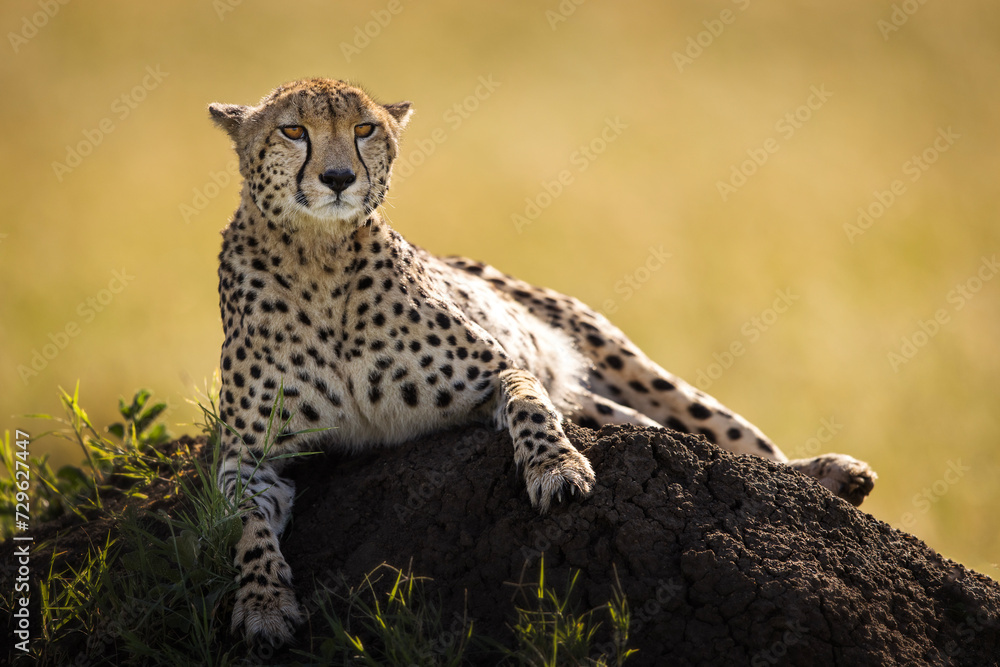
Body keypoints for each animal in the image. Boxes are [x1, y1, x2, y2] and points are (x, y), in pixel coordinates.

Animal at [208, 78, 877, 647]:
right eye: (294, 130)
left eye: (365, 128)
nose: (340, 176)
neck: (315, 256)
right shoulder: (250, 458)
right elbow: (245, 527)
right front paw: (263, 605)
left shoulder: (497, 371)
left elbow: (529, 407)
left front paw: (557, 470)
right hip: (599, 402)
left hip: (628, 365)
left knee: (732, 441)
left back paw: (831, 473)